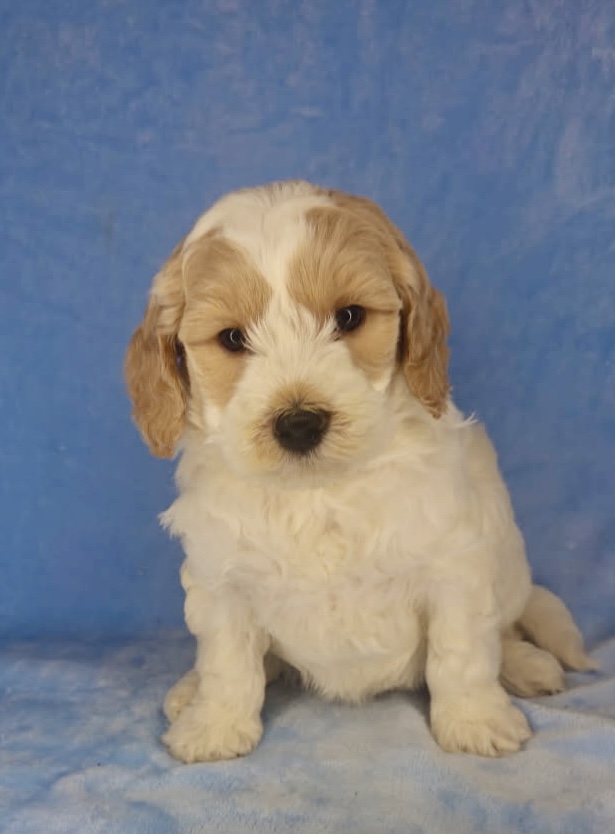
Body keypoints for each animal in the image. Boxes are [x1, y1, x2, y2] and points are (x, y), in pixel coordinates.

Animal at [125, 180, 593, 763]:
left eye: (348, 317)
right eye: (232, 338)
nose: (299, 423)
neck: (319, 491)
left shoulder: (454, 565)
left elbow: (461, 652)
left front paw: (473, 720)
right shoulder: (221, 580)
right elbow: (228, 661)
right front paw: (215, 725)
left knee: (503, 631)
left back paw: (526, 666)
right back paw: (188, 693)